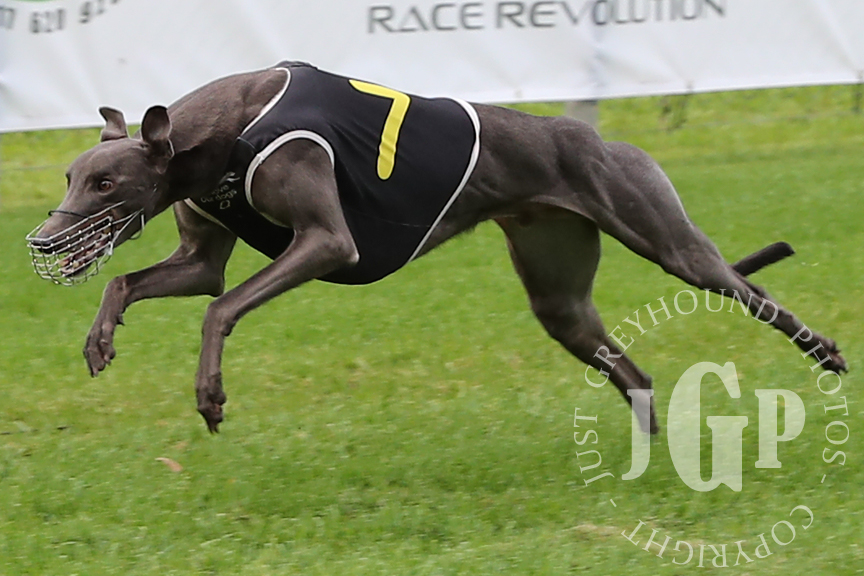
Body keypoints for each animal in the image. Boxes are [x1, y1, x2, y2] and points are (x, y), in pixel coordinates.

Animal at [27, 61, 847, 433]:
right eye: (71, 176)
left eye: (105, 182)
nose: (40, 237)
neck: (224, 132)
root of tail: (594, 135)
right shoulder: (199, 257)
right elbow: (139, 284)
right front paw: (100, 339)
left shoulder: (327, 243)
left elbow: (219, 308)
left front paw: (210, 394)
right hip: (560, 298)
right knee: (633, 371)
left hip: (669, 243)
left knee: (750, 292)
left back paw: (827, 354)